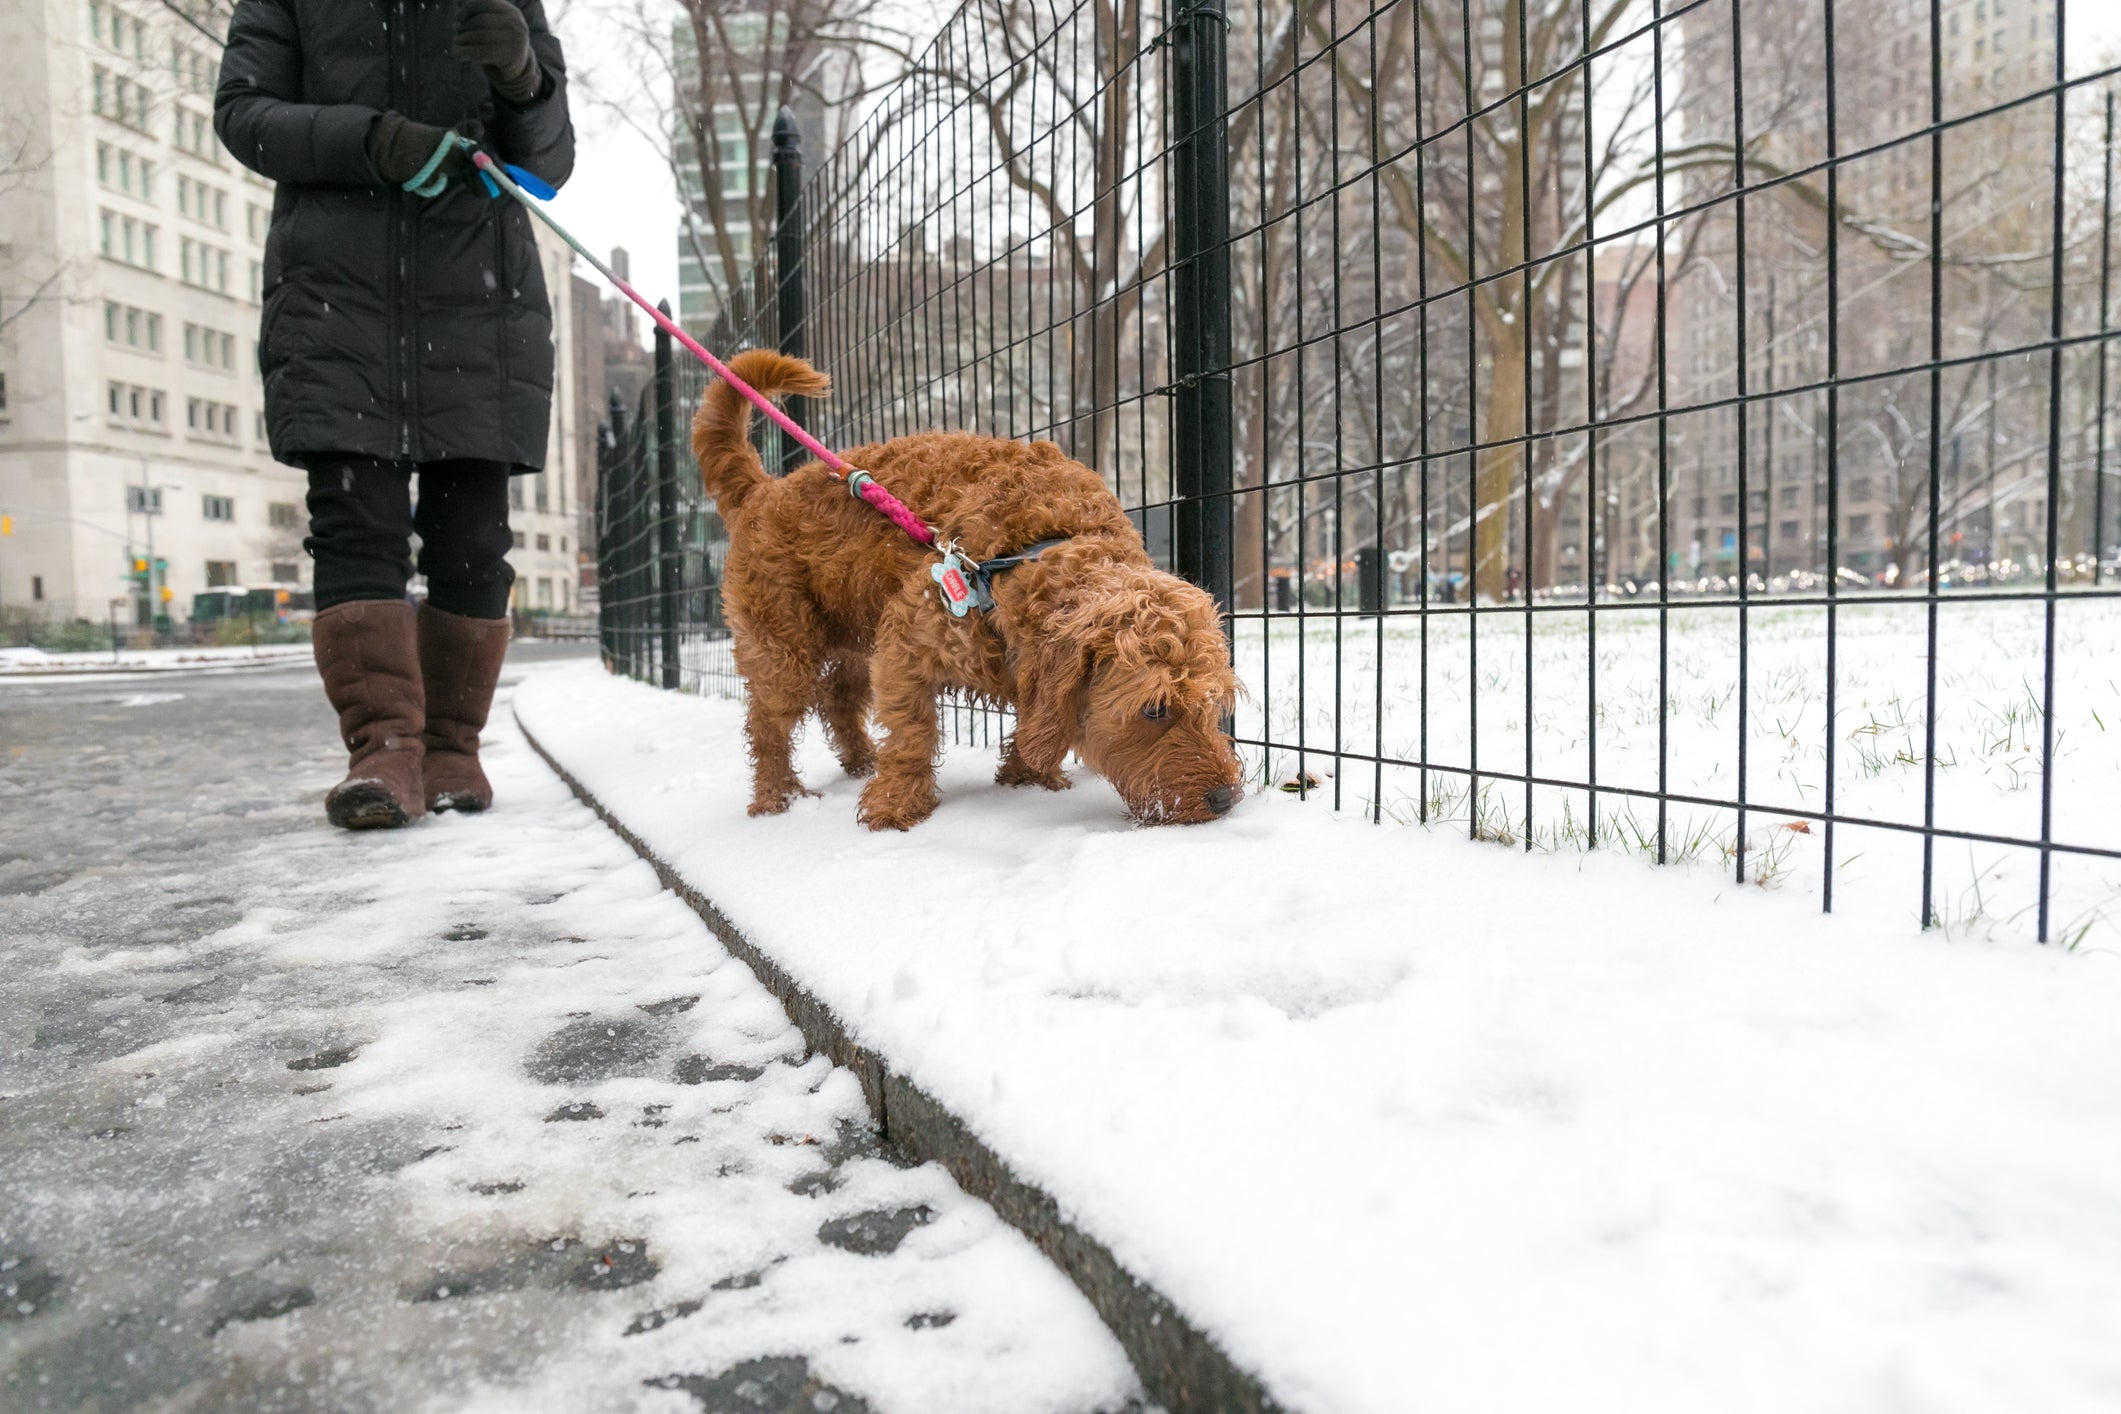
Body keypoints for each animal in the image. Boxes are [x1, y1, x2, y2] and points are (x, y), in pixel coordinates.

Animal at [695, 351, 1238, 831]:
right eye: (1154, 709)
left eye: (1213, 702)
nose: (1227, 799)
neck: (1033, 550)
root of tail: (763, 490)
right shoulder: (907, 642)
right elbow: (912, 735)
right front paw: (896, 806)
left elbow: (1030, 728)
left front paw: (1026, 779)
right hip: (783, 648)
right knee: (768, 726)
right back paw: (778, 799)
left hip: (851, 638)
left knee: (838, 699)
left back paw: (861, 761)